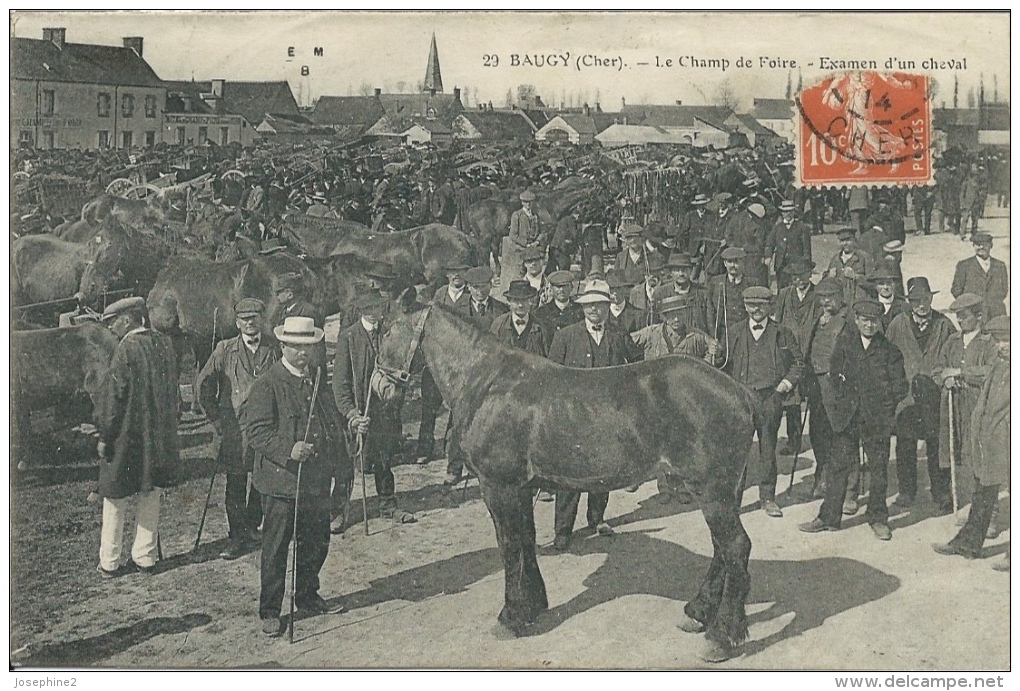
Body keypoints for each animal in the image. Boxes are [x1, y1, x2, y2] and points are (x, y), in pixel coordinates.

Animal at [379, 304, 762, 661]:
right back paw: (698, 613)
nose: (380, 386)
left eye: (387, 331)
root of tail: (741, 393)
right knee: (722, 549)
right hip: (722, 493)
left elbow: (509, 546)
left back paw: (721, 637)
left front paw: (510, 617)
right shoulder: (522, 487)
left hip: (712, 492)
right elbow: (527, 540)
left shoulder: (498, 486)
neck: (488, 382)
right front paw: (533, 606)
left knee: (735, 547)